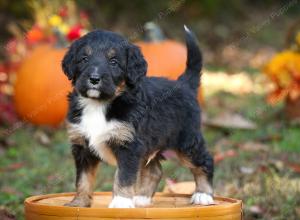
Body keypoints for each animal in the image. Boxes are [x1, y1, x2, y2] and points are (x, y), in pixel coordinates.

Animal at [62, 25, 214, 208]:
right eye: (84, 59)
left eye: (113, 62)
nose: (94, 79)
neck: (99, 104)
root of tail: (183, 84)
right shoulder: (82, 147)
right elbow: (82, 179)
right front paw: (78, 203)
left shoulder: (129, 146)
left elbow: (123, 177)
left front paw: (120, 202)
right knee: (155, 170)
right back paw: (141, 198)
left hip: (187, 142)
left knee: (205, 161)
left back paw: (203, 195)